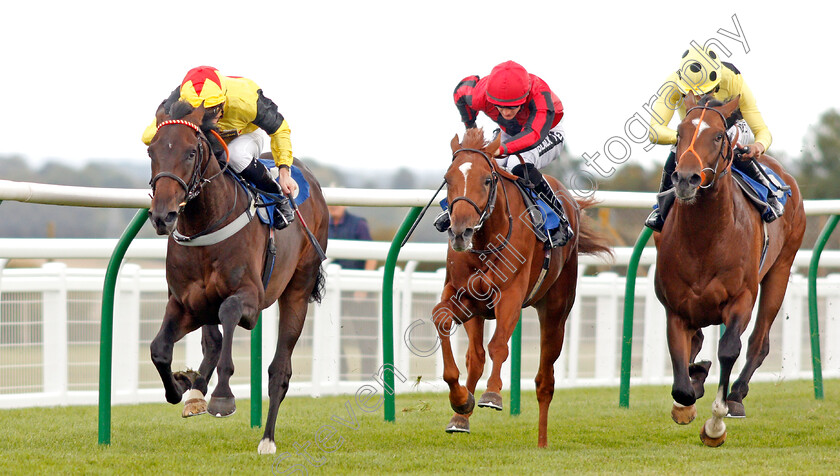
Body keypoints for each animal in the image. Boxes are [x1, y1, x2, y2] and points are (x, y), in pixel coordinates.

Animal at [144, 101, 328, 454]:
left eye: (190, 152)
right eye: (152, 151)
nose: (163, 216)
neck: (206, 224)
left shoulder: (251, 300)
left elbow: (228, 314)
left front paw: (222, 397)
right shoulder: (185, 303)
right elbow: (160, 348)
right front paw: (182, 384)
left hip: (298, 290)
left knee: (279, 370)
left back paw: (267, 439)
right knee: (212, 340)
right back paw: (196, 391)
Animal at [434, 126, 612, 446]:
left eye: (487, 179)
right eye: (448, 178)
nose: (460, 231)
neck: (485, 241)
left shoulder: (511, 296)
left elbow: (499, 345)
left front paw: (492, 395)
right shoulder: (464, 296)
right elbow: (441, 320)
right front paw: (460, 401)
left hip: (556, 310)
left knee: (545, 379)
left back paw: (541, 441)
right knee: (475, 357)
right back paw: (461, 417)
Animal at [656, 93, 808, 446]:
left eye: (716, 136)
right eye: (679, 133)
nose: (686, 179)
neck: (705, 238)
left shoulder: (741, 298)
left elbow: (729, 349)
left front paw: (715, 423)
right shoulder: (675, 307)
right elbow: (681, 377)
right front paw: (687, 398)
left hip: (780, 270)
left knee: (759, 341)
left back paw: (737, 395)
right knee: (699, 341)